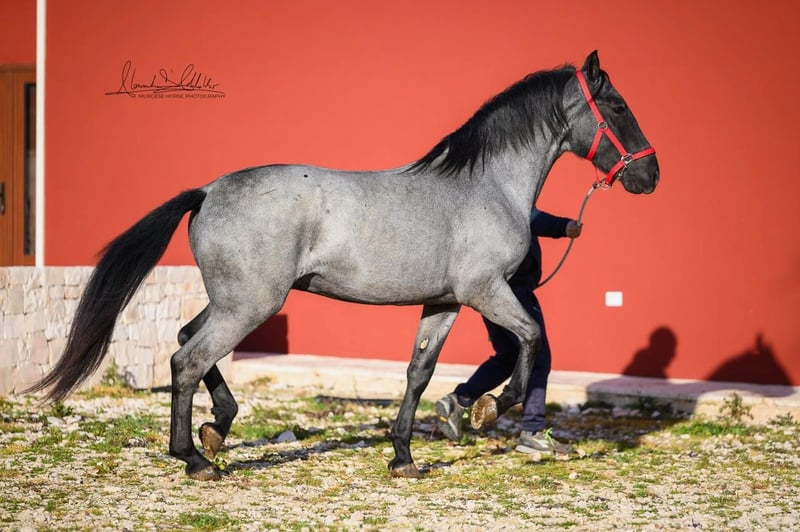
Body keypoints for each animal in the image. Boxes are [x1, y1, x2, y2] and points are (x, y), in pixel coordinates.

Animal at [26, 51, 658, 481]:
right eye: (618, 106)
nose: (649, 175)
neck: (482, 185)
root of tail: (206, 191)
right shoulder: (485, 291)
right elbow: (529, 338)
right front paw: (484, 410)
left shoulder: (444, 302)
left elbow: (418, 372)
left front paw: (404, 455)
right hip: (252, 304)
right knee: (186, 358)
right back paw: (195, 457)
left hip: (233, 300)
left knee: (186, 340)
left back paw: (216, 430)